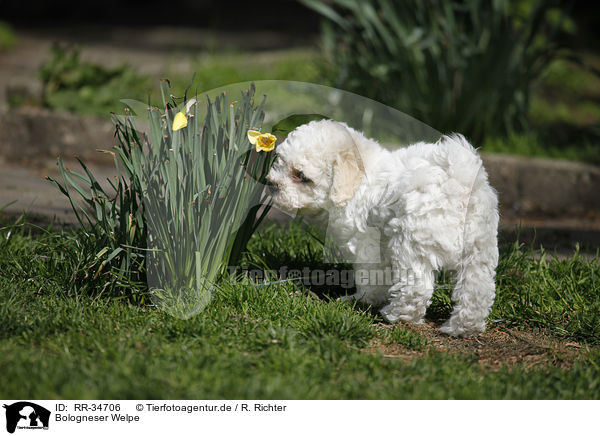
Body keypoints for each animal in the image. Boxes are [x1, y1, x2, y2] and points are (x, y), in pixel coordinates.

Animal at [266, 119, 496, 338]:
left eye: (301, 176)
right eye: (279, 163)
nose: (271, 183)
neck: (358, 180)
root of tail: (458, 182)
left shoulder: (366, 244)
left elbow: (371, 277)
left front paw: (362, 299)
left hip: (410, 242)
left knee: (416, 286)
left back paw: (396, 315)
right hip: (478, 246)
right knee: (476, 288)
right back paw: (463, 327)